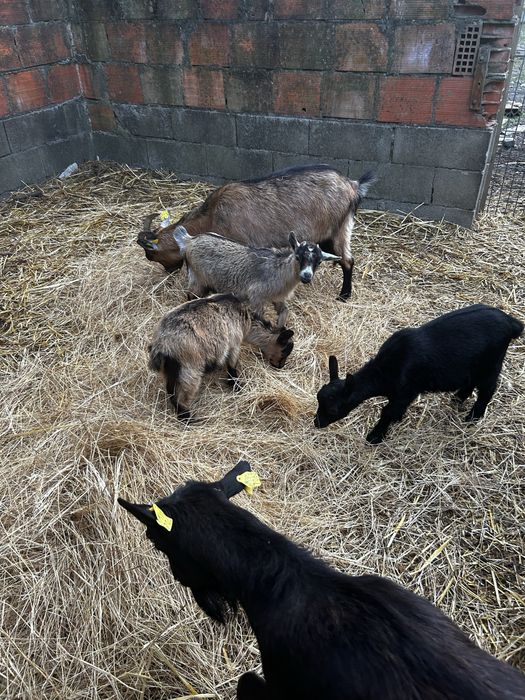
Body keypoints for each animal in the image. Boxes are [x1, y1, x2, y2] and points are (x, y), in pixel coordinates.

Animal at [137, 164, 376, 300]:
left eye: (152, 255)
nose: (168, 272)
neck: (212, 215)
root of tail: (353, 185)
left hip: (337, 231)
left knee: (347, 260)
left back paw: (344, 296)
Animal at [149, 293, 294, 420]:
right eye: (284, 351)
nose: (280, 366)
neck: (244, 317)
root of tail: (161, 346)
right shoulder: (234, 344)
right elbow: (232, 366)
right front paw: (237, 386)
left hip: (170, 371)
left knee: (171, 391)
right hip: (190, 369)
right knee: (182, 397)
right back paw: (189, 420)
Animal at [173, 227, 340, 328]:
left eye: (319, 262)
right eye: (298, 257)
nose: (306, 276)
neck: (279, 271)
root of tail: (189, 240)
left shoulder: (277, 298)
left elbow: (284, 313)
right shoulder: (256, 296)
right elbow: (261, 317)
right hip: (197, 278)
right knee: (191, 295)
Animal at [315, 304, 523, 443]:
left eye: (333, 410)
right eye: (318, 398)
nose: (317, 423)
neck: (386, 370)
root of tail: (511, 322)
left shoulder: (405, 392)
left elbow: (388, 412)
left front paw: (375, 436)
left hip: (491, 364)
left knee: (488, 389)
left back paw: (473, 417)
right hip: (474, 365)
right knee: (471, 380)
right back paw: (459, 397)